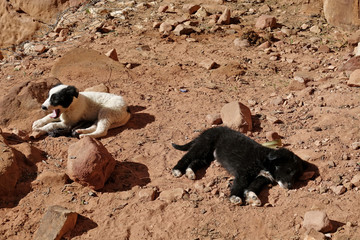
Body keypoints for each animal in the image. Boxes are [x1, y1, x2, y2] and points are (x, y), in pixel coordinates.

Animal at [172, 126, 304, 205]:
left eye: (296, 176)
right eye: (289, 170)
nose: (290, 186)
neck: (266, 161)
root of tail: (207, 130)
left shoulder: (262, 177)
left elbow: (253, 186)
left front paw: (252, 196)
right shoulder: (244, 173)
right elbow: (239, 185)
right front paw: (234, 196)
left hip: (208, 156)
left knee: (195, 162)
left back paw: (190, 172)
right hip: (203, 146)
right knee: (187, 157)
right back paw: (177, 170)